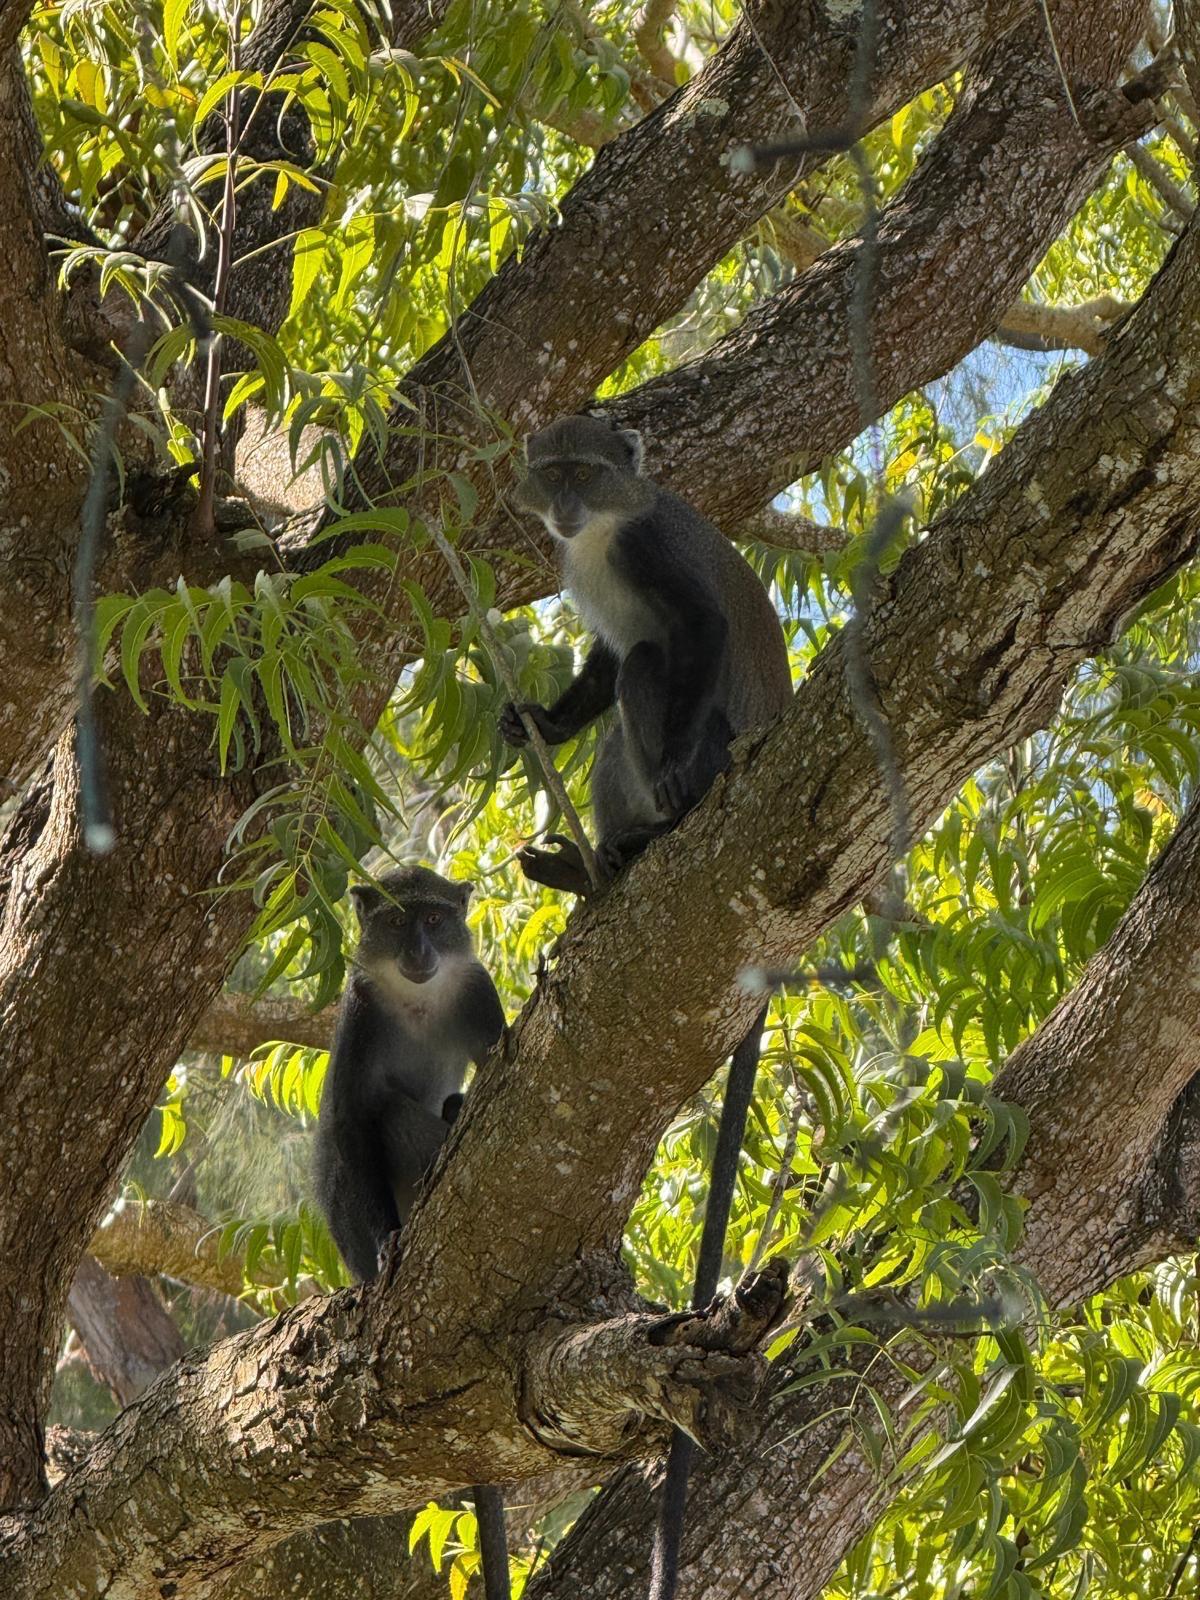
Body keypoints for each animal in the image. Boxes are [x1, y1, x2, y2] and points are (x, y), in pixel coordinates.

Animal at [313, 865, 512, 1600]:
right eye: (396, 921)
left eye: (432, 919)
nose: (419, 951)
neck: (416, 999)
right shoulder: (360, 1013)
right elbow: (350, 1126)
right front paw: (387, 1244)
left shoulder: (475, 991)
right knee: (382, 1125)